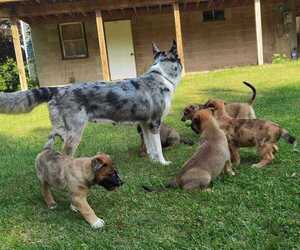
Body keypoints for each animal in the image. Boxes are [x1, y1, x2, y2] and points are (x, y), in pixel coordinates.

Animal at [0, 40, 183, 166]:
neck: (160, 76)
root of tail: (58, 89)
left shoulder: (145, 124)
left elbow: (151, 146)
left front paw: (153, 161)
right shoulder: (155, 123)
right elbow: (158, 147)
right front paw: (163, 163)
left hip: (60, 132)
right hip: (74, 133)